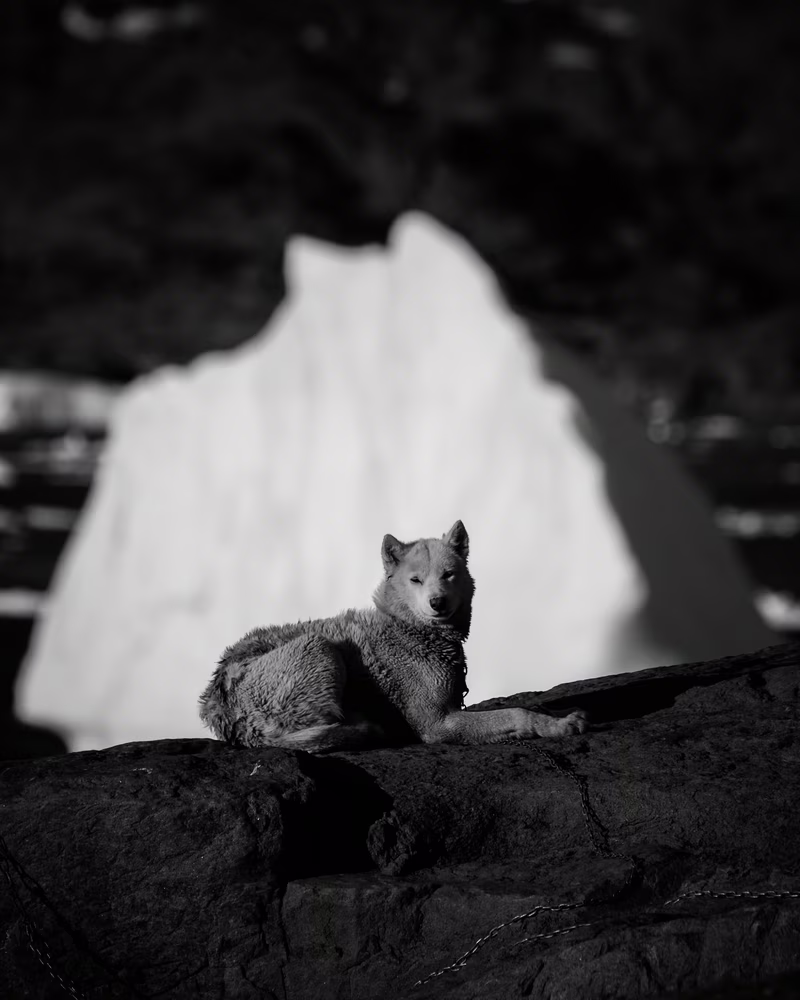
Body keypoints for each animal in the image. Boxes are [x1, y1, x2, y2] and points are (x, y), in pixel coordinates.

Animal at [198, 521, 587, 752]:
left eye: (448, 574)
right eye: (415, 579)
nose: (437, 602)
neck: (409, 630)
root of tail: (220, 710)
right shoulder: (435, 724)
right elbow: (517, 712)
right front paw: (558, 725)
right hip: (317, 647)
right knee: (293, 739)